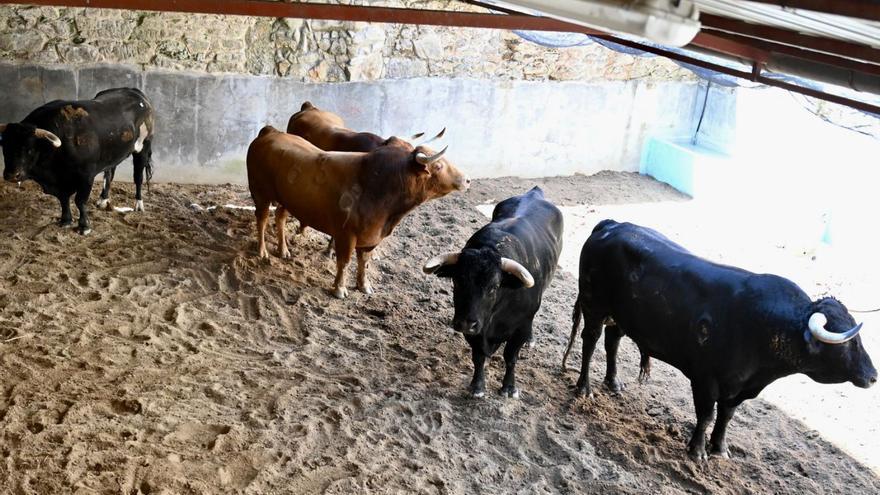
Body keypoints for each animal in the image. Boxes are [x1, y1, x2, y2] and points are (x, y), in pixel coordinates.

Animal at [0, 87, 154, 234]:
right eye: (5, 146)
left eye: (29, 148)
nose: (12, 175)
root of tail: (134, 91)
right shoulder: (61, 181)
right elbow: (63, 199)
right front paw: (66, 220)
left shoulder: (86, 176)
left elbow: (80, 201)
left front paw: (84, 226)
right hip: (114, 153)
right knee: (109, 173)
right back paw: (103, 199)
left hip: (143, 147)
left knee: (138, 177)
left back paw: (139, 205)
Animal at [244, 126, 470, 298]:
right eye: (438, 166)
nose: (467, 180)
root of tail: (270, 132)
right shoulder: (346, 235)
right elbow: (344, 262)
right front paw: (339, 288)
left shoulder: (371, 238)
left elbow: (364, 262)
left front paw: (364, 285)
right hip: (260, 193)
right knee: (262, 220)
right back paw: (262, 251)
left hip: (287, 200)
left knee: (280, 218)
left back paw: (283, 250)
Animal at [424, 188, 564, 402]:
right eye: (457, 281)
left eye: (494, 286)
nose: (465, 323)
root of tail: (534, 192)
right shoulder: (476, 328)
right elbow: (478, 356)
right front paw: (477, 386)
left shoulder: (520, 328)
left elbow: (511, 356)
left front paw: (509, 387)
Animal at [568, 221, 876, 462]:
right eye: (848, 343)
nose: (872, 376)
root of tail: (612, 225)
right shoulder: (705, 379)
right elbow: (706, 414)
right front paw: (697, 451)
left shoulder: (738, 388)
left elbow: (726, 415)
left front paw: (720, 449)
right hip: (595, 306)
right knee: (590, 342)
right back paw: (585, 388)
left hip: (620, 316)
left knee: (612, 342)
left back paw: (614, 383)